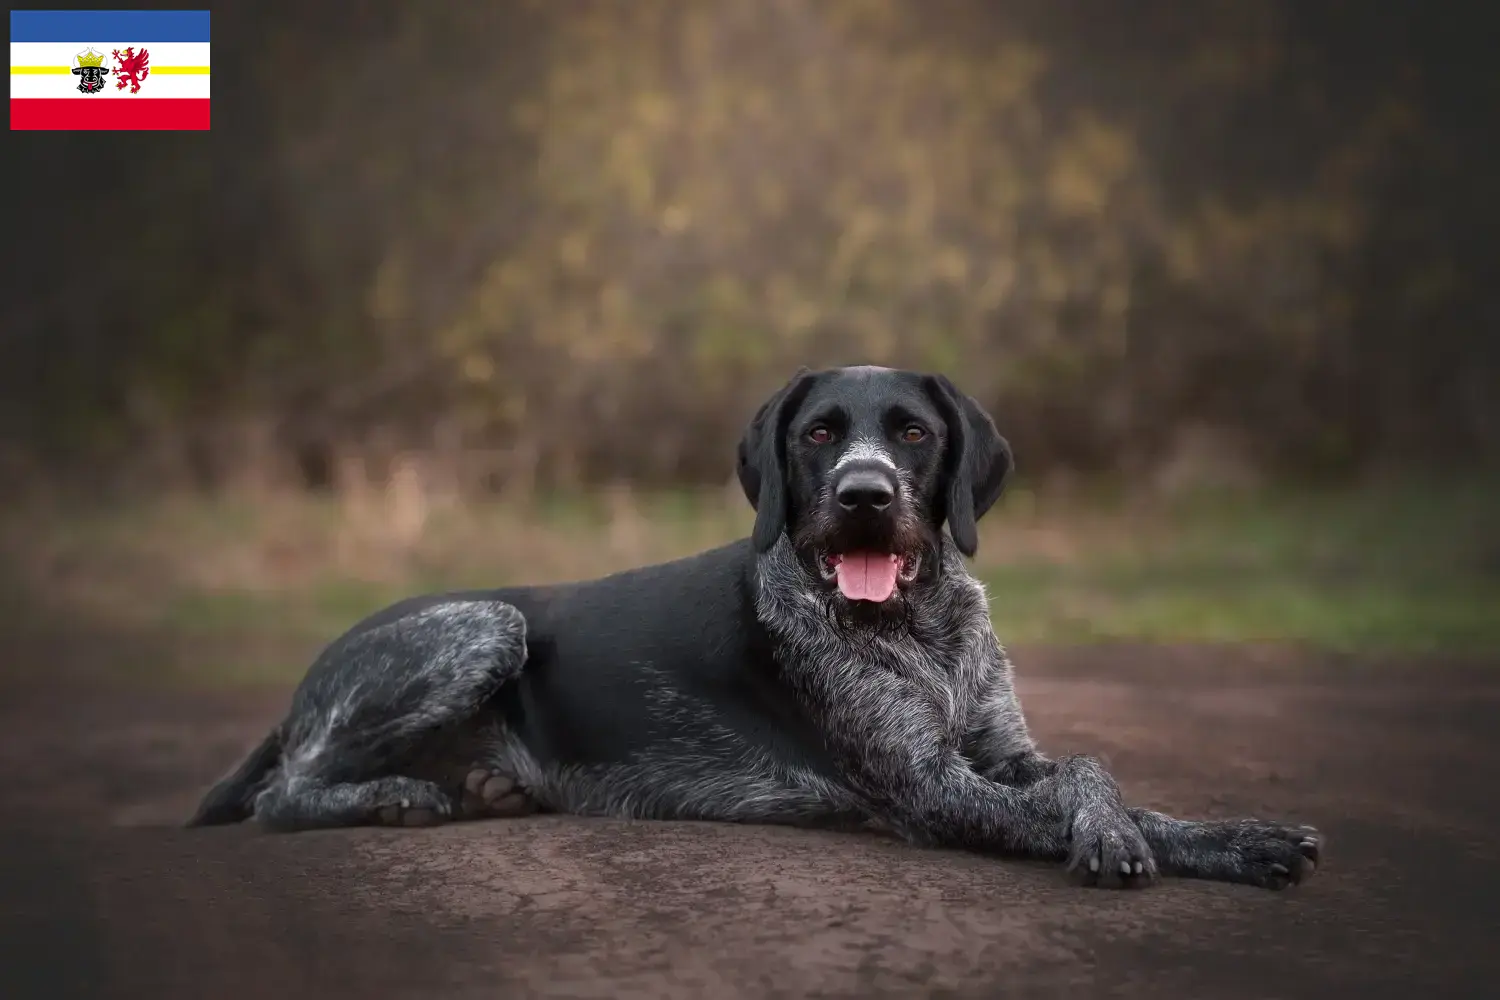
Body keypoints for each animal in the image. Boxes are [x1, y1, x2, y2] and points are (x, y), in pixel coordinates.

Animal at [190, 365, 1326, 893]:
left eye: (913, 433)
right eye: (819, 433)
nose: (865, 496)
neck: (917, 627)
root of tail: (308, 679)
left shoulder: (1001, 750)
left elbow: (1100, 775)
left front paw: (1234, 835)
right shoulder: (928, 789)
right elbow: (1074, 794)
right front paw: (1115, 839)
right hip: (487, 623)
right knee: (286, 791)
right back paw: (391, 797)